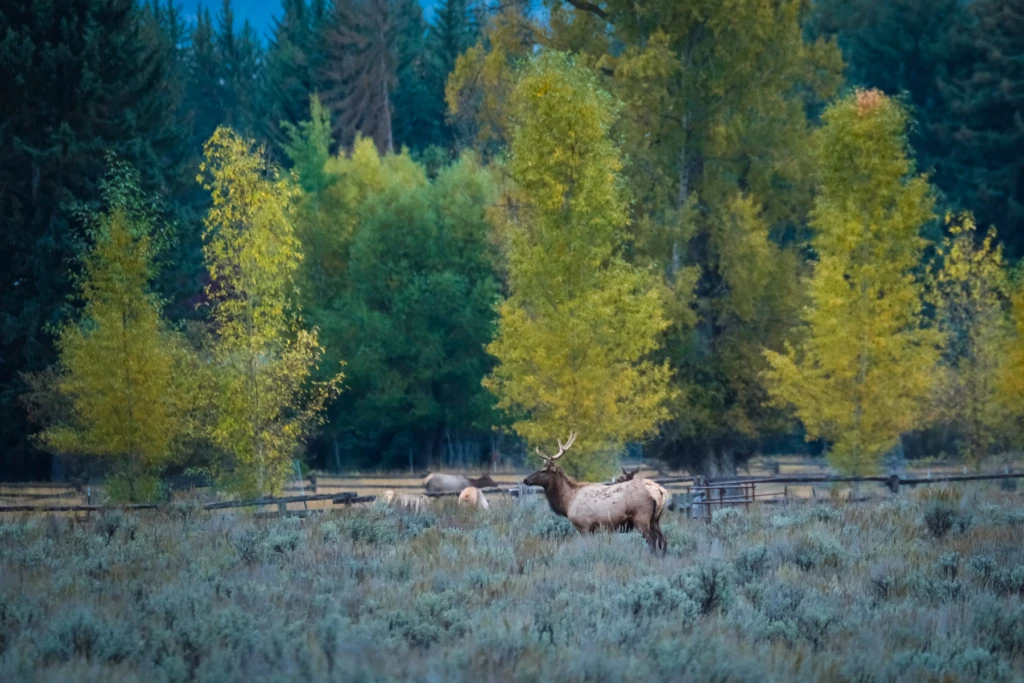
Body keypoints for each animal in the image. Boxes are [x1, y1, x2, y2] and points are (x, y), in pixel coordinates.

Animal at [523, 432, 668, 553]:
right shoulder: (592, 528)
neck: (567, 502)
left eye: (543, 470)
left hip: (641, 517)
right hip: (655, 519)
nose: (525, 480)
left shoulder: (583, 525)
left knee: (652, 541)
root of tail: (659, 491)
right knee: (663, 540)